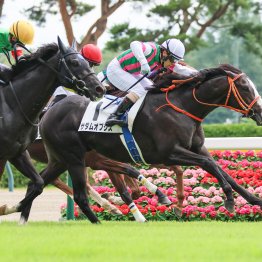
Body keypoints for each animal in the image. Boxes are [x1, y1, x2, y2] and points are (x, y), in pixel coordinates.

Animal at [0, 36, 104, 221]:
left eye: (88, 64)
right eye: (74, 62)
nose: (99, 88)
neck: (13, 105)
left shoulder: (17, 153)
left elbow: (39, 184)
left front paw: (9, 208)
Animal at [4, 63, 262, 223]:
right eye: (245, 87)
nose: (259, 112)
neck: (181, 107)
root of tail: (49, 111)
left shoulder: (197, 149)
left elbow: (221, 169)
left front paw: (253, 199)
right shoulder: (169, 153)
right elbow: (211, 166)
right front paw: (229, 200)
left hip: (61, 158)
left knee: (38, 183)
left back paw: (18, 214)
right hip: (75, 157)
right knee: (70, 188)